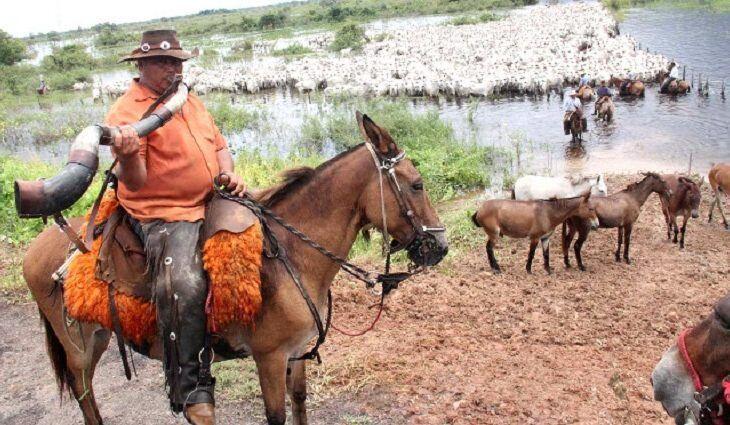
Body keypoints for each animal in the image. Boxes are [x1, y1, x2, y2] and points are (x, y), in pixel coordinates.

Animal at [21, 112, 450, 424]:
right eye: (417, 184)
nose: (441, 247)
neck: (293, 256)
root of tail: (35, 249)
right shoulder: (270, 357)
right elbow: (276, 416)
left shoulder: (297, 354)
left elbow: (300, 403)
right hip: (77, 345)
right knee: (84, 394)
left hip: (98, 337)